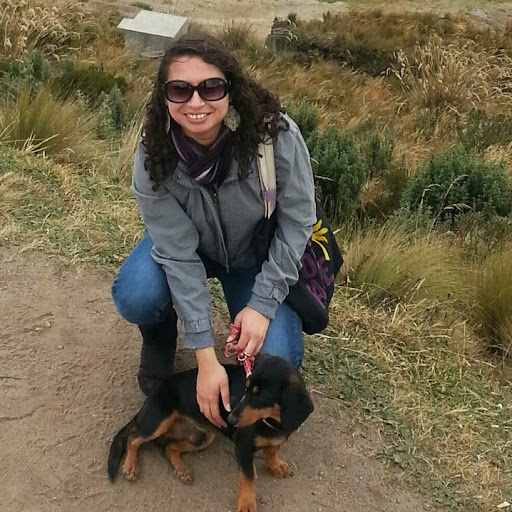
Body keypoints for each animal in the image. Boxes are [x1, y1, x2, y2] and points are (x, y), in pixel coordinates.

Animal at [107, 354, 314, 512]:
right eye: (246, 389)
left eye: (261, 396)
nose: (230, 420)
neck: (272, 422)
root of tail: (152, 395)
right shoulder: (243, 446)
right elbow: (249, 476)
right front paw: (246, 504)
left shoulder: (277, 438)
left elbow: (272, 451)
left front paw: (275, 465)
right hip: (159, 421)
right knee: (133, 438)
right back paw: (130, 466)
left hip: (204, 437)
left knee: (169, 447)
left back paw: (182, 469)